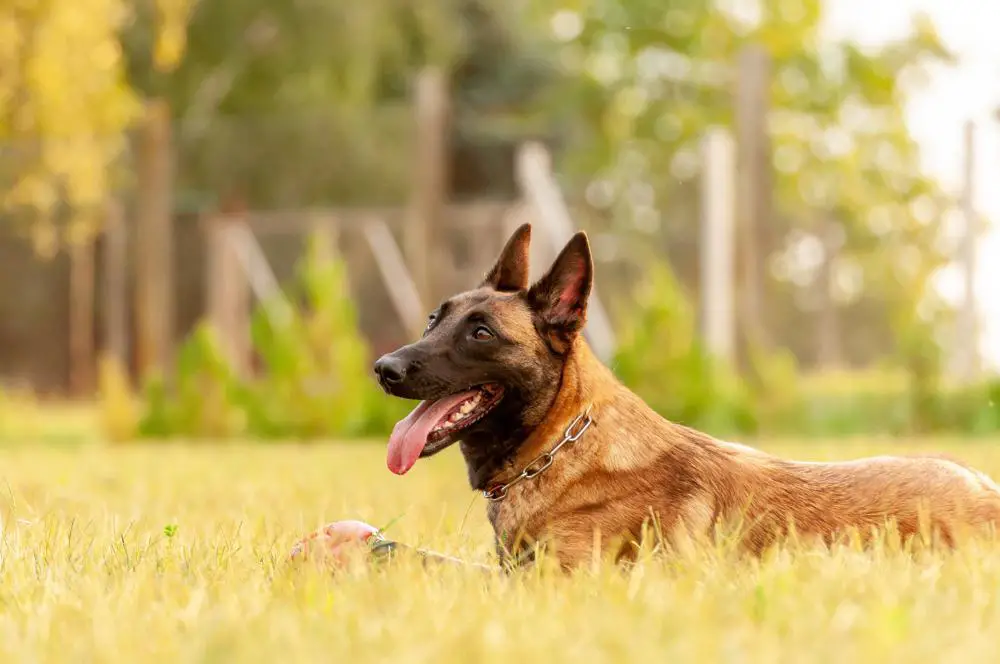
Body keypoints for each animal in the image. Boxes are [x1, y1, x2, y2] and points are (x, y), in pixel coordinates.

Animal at [296, 223, 1000, 572]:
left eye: (481, 333)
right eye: (432, 319)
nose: (383, 368)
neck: (559, 448)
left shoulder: (556, 582)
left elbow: (437, 565)